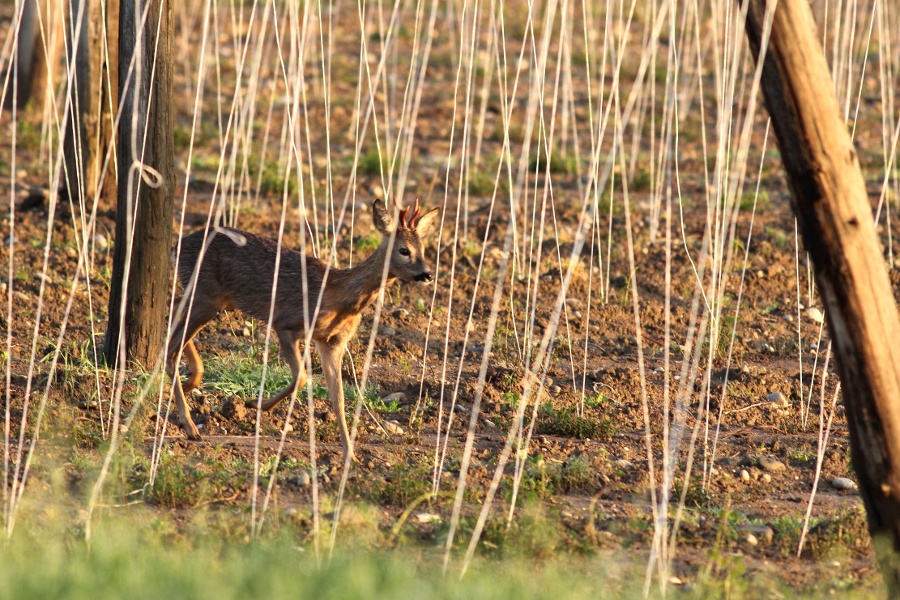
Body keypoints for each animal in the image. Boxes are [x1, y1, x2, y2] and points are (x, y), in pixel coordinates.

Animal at [167, 199, 442, 462]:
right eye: (404, 250)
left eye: (423, 250)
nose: (427, 274)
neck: (338, 296)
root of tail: (178, 245)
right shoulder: (286, 323)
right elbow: (301, 377)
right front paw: (255, 403)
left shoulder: (333, 342)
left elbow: (339, 398)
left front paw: (350, 455)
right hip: (206, 293)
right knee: (173, 343)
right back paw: (190, 425)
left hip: (217, 299)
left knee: (173, 313)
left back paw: (192, 383)